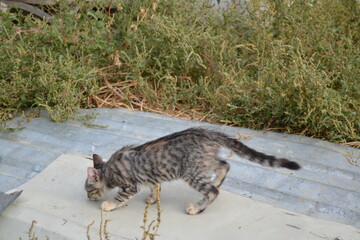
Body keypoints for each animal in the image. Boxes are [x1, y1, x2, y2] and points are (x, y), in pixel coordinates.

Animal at [85, 127, 300, 214]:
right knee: (225, 165)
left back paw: (197, 208)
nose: (88, 198)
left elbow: (120, 197)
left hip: (191, 172)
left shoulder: (130, 185)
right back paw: (216, 181)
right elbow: (155, 187)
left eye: (88, 190)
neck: (108, 170)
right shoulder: (152, 178)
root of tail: (206, 132)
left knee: (213, 191)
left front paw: (109, 205)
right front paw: (153, 198)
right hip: (204, 163)